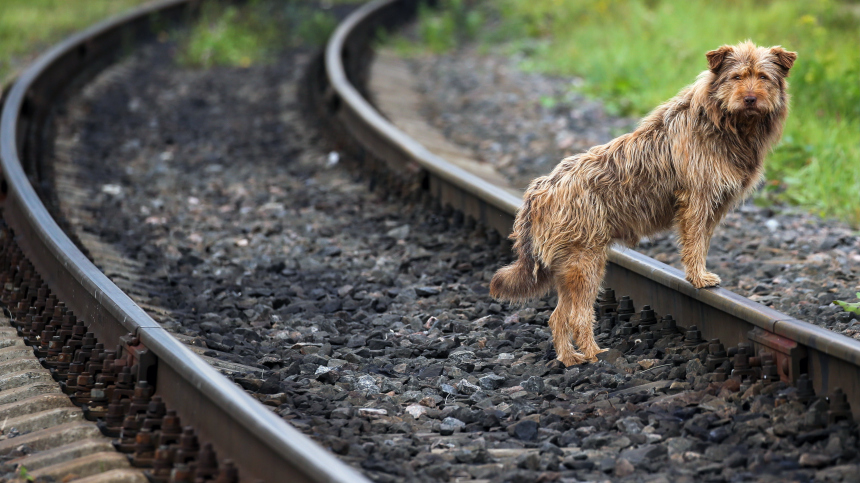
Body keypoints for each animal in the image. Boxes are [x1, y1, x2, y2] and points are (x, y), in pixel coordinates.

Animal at [490, 42, 800, 366]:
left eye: (763, 77)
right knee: (577, 316)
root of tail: (537, 192)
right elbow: (695, 243)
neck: (726, 123)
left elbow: (702, 242)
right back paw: (594, 354)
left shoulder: (713, 208)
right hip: (587, 263)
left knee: (557, 317)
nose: (750, 98)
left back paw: (570, 358)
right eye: (737, 77)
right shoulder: (697, 201)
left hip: (569, 268)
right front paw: (699, 277)